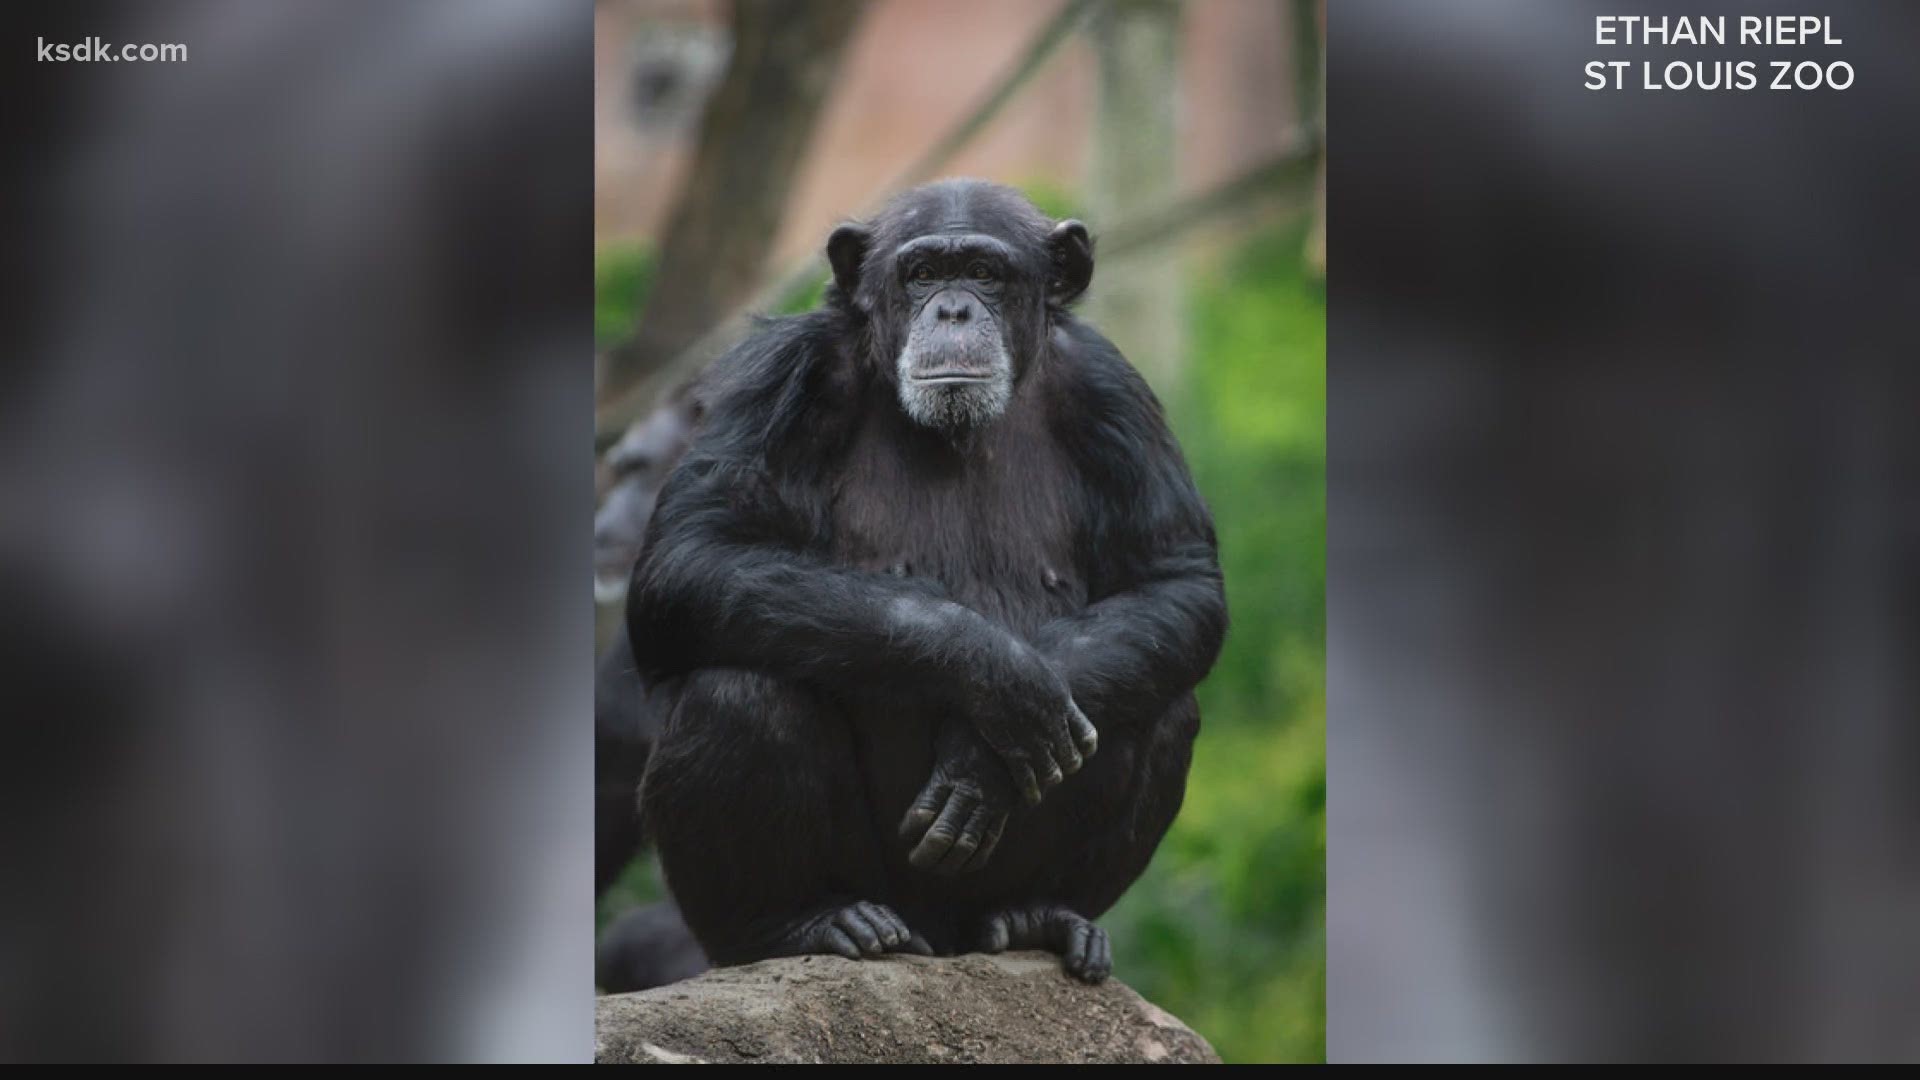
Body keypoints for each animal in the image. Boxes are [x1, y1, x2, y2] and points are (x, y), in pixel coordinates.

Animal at [629, 180, 1228, 980]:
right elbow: (693, 554)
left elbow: (1173, 579)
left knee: (1161, 709)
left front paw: (980, 764)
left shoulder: (1114, 389)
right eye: (920, 274)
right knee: (739, 694)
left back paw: (1038, 914)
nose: (952, 310)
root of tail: (941, 940)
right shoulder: (783, 372)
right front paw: (997, 674)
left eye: (983, 272)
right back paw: (802, 925)